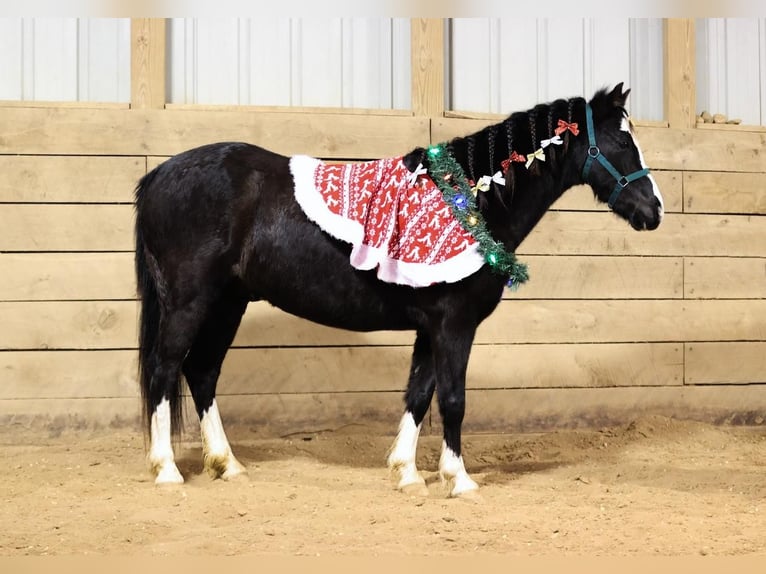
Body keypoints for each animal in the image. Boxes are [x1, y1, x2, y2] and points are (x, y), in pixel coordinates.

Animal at [134, 83, 663, 497]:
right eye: (621, 138)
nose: (654, 210)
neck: (469, 200)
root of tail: (157, 175)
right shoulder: (454, 325)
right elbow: (452, 399)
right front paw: (459, 480)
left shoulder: (430, 328)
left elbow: (419, 393)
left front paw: (407, 473)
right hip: (189, 303)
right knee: (165, 370)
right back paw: (166, 470)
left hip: (228, 304)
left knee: (202, 373)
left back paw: (228, 465)